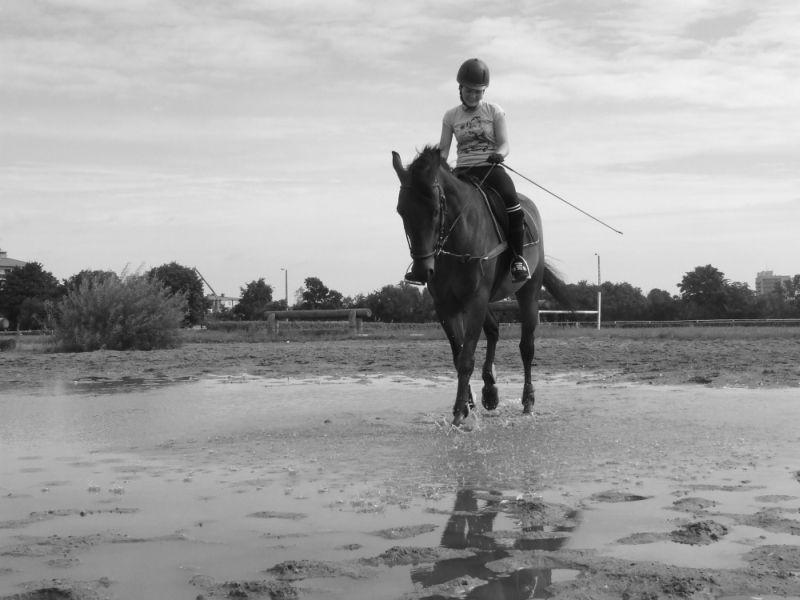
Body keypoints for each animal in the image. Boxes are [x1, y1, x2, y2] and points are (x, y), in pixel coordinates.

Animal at [392, 146, 568, 426]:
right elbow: (459, 354)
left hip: (527, 293)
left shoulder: (475, 300)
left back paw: (528, 401)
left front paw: (457, 413)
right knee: (494, 330)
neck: (456, 239)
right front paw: (468, 403)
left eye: (435, 210)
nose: (421, 270)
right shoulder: (446, 306)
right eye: (401, 211)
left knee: (526, 347)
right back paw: (490, 391)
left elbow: (466, 358)